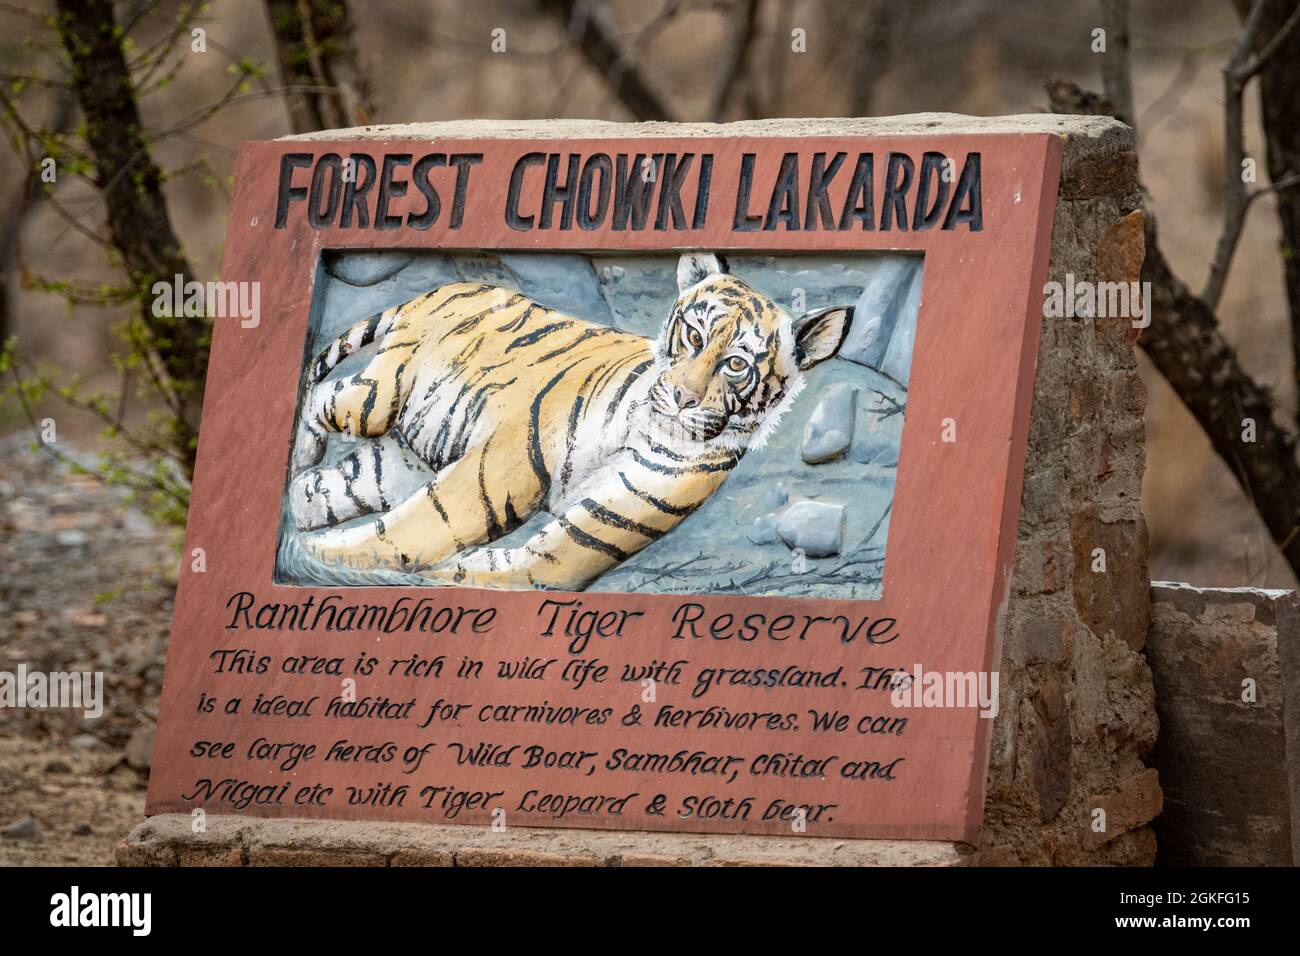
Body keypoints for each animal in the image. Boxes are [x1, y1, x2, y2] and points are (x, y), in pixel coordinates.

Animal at [288, 252, 852, 591]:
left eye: (736, 364)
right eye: (694, 336)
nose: (680, 397)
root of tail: (450, 287)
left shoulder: (582, 538)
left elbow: (480, 562)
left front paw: (316, 559)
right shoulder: (497, 468)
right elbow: (412, 531)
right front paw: (315, 560)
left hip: (402, 457)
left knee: (325, 487)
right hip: (379, 395)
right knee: (323, 395)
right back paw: (300, 455)